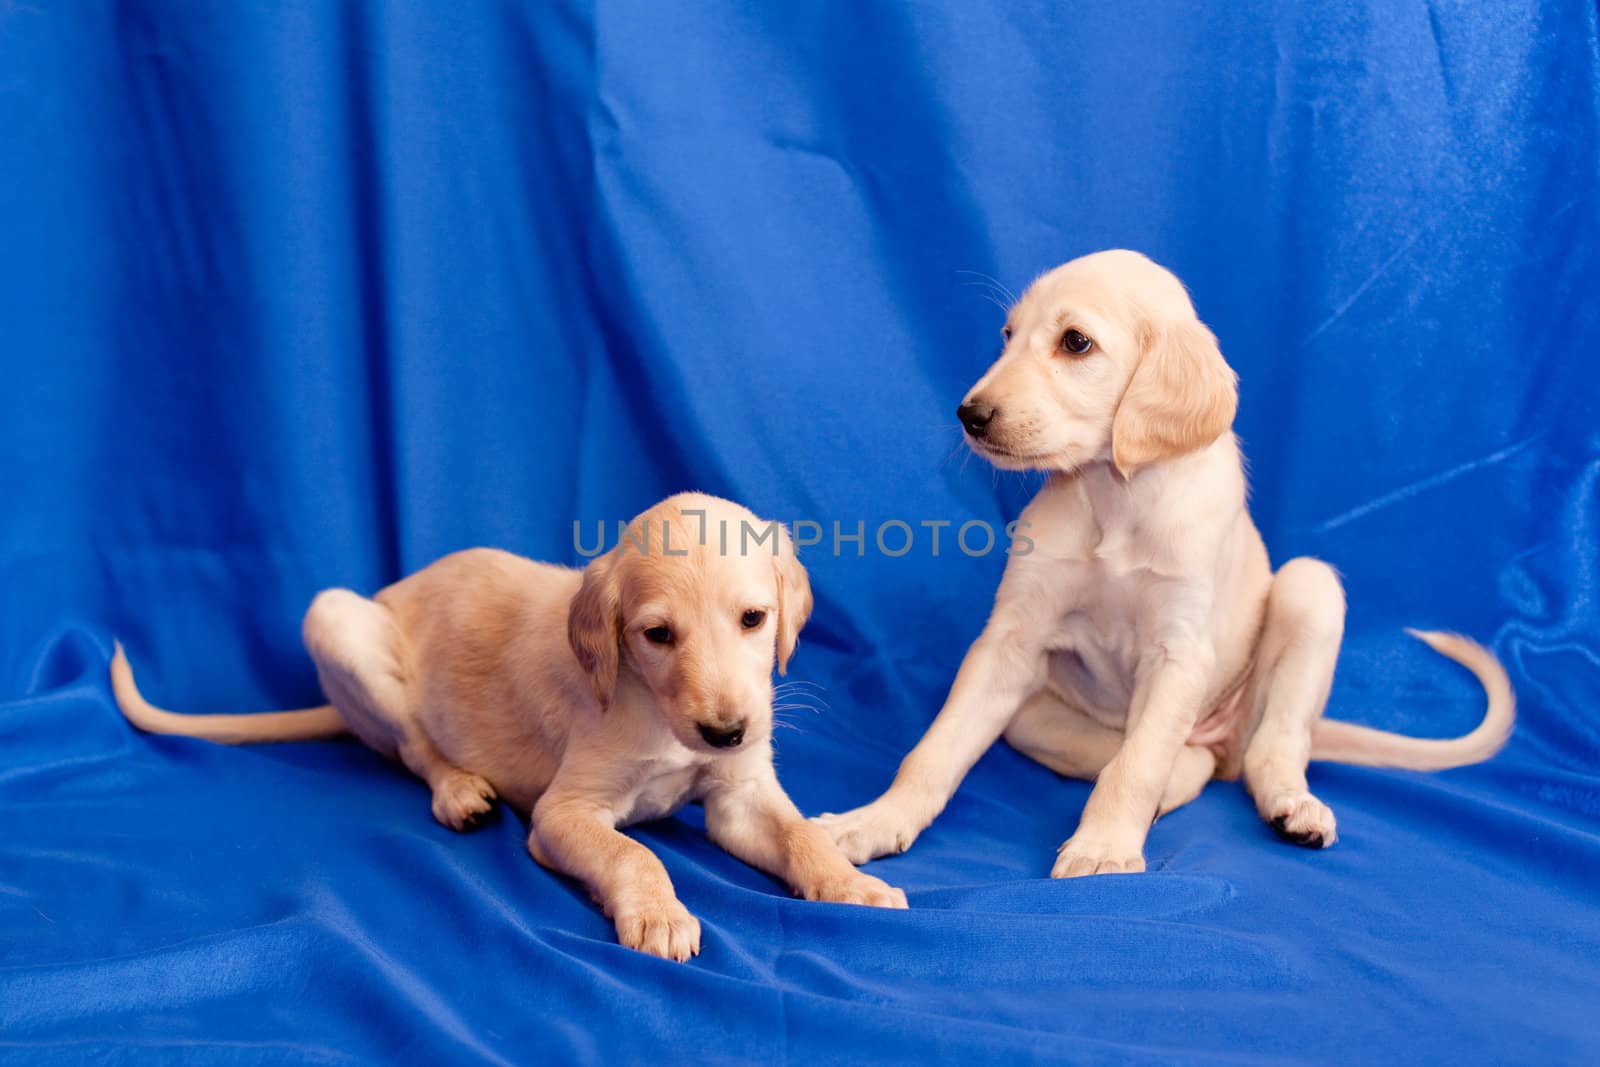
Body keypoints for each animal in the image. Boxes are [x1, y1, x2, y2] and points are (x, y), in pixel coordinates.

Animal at [111, 492, 908, 959]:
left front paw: (849, 884)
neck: (652, 708)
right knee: (415, 748)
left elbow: (801, 832)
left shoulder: (737, 796)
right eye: (657, 635)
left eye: (753, 618)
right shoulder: (565, 811)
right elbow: (632, 854)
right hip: (336, 621)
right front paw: (658, 914)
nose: (726, 732)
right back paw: (459, 789)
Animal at [819, 251, 1516, 876]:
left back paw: (1292, 805)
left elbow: (1136, 767)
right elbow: (936, 750)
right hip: (1031, 715)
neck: (1116, 497)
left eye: (1076, 342)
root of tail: (1227, 742)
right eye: (1008, 336)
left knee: (1270, 748)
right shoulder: (1008, 643)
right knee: (1166, 759)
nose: (970, 414)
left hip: (1307, 592)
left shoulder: (1180, 653)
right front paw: (875, 821)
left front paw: (1103, 850)